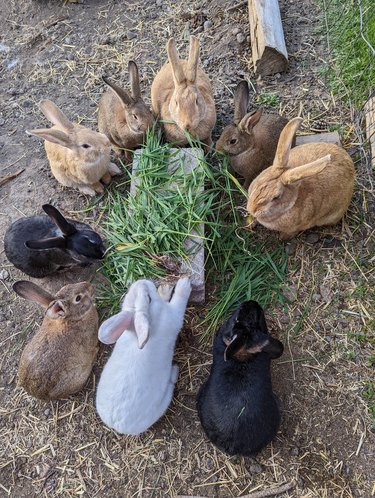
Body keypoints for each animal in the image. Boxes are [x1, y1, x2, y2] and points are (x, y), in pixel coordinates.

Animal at [95, 278, 192, 434]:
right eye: (149, 299)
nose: (142, 281)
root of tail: (116, 425)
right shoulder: (174, 316)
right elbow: (179, 301)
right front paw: (184, 284)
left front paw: (164, 289)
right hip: (163, 402)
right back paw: (175, 370)